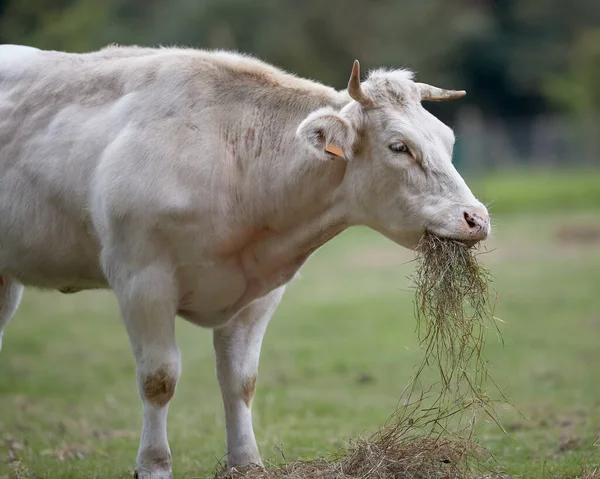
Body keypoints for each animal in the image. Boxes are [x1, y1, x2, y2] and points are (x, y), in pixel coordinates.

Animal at [0, 46, 490, 479]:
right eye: (399, 147)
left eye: (448, 140)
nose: (476, 218)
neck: (234, 162)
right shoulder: (141, 279)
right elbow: (159, 379)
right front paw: (154, 465)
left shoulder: (260, 292)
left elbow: (240, 379)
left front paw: (247, 462)